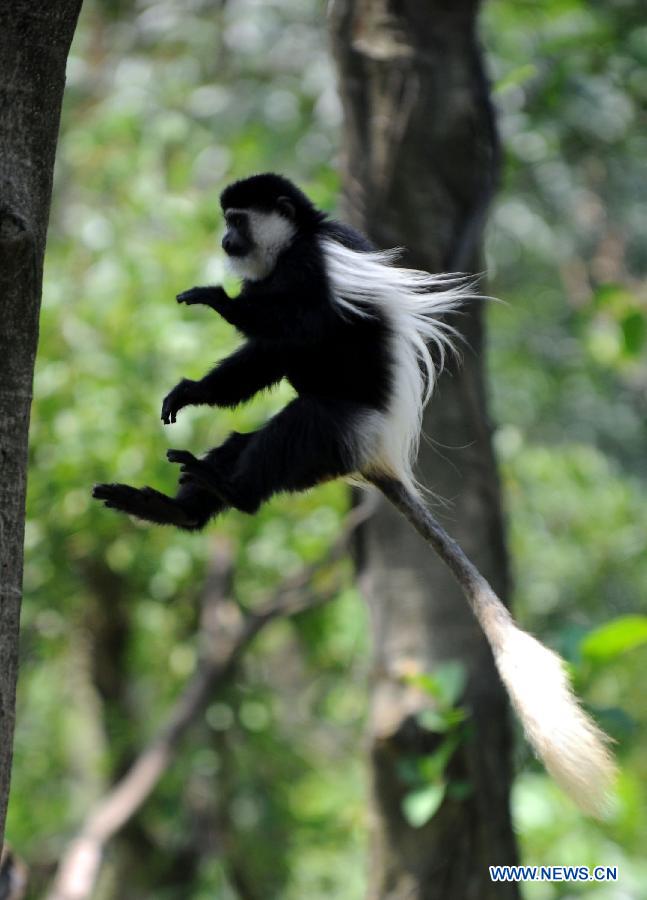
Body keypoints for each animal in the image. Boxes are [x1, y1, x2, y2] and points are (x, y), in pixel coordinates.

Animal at [92, 171, 616, 816]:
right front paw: (188, 391)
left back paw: (229, 486)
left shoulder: (313, 271)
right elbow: (265, 359)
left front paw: (221, 301)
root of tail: (378, 455)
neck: (294, 244)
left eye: (237, 220)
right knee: (249, 437)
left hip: (339, 431)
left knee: (299, 421)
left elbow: (301, 329)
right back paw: (179, 503)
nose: (225, 241)